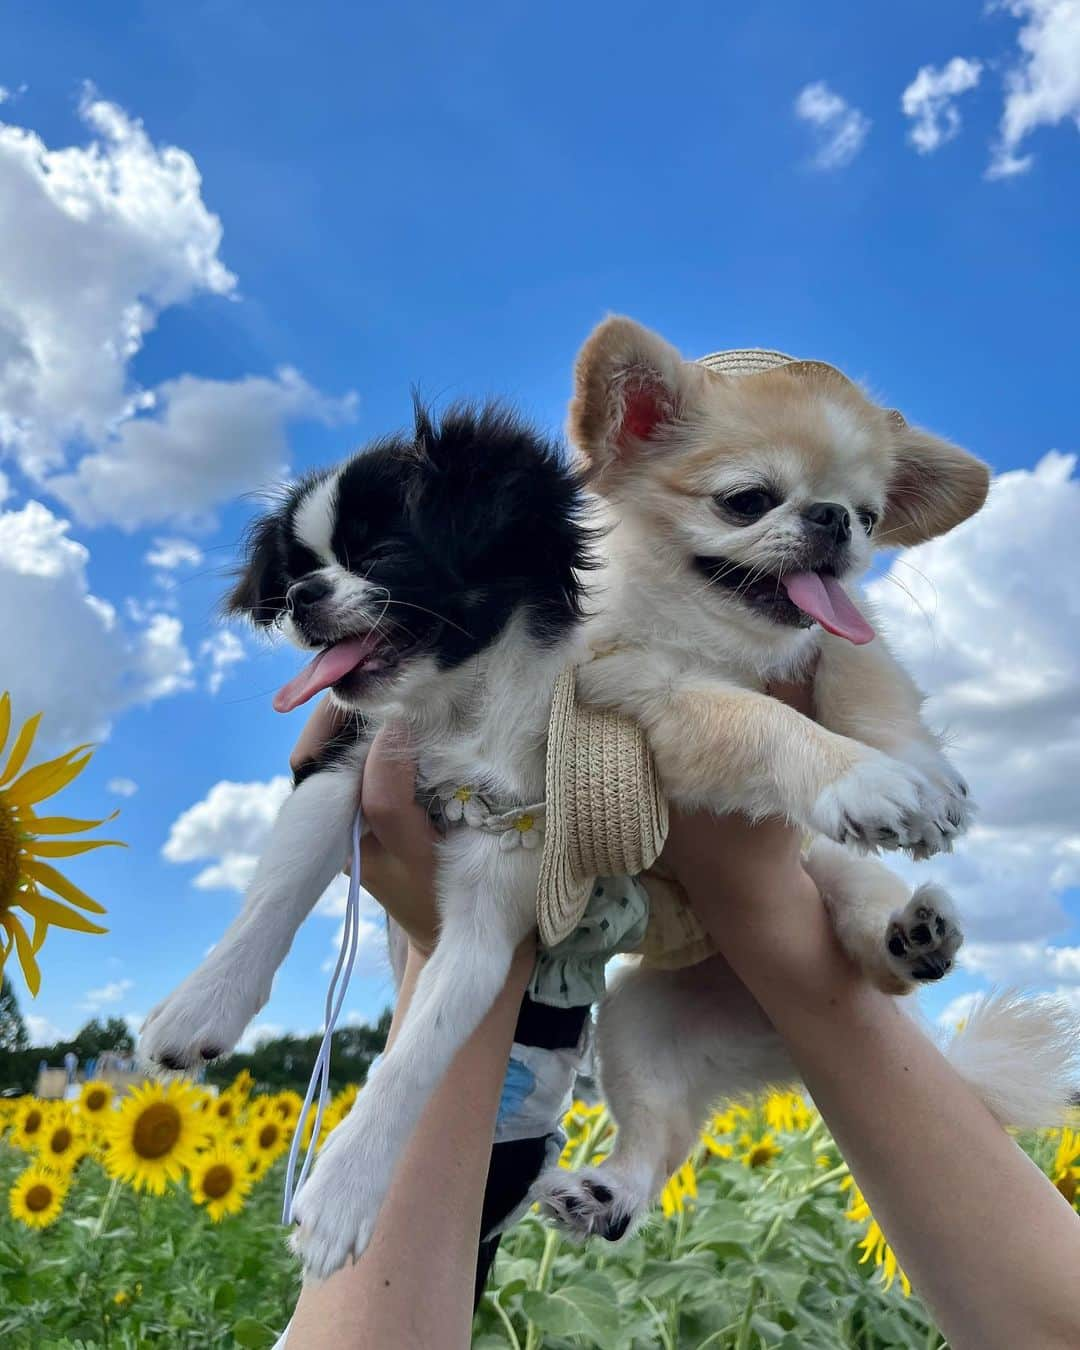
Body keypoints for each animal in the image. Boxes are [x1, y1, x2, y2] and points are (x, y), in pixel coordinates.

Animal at [140, 399, 594, 1274]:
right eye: (297, 567)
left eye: (383, 554)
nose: (301, 594)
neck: (457, 709)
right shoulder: (341, 766)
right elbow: (274, 895)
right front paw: (197, 1006)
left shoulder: (497, 909)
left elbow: (415, 1053)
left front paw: (343, 1194)